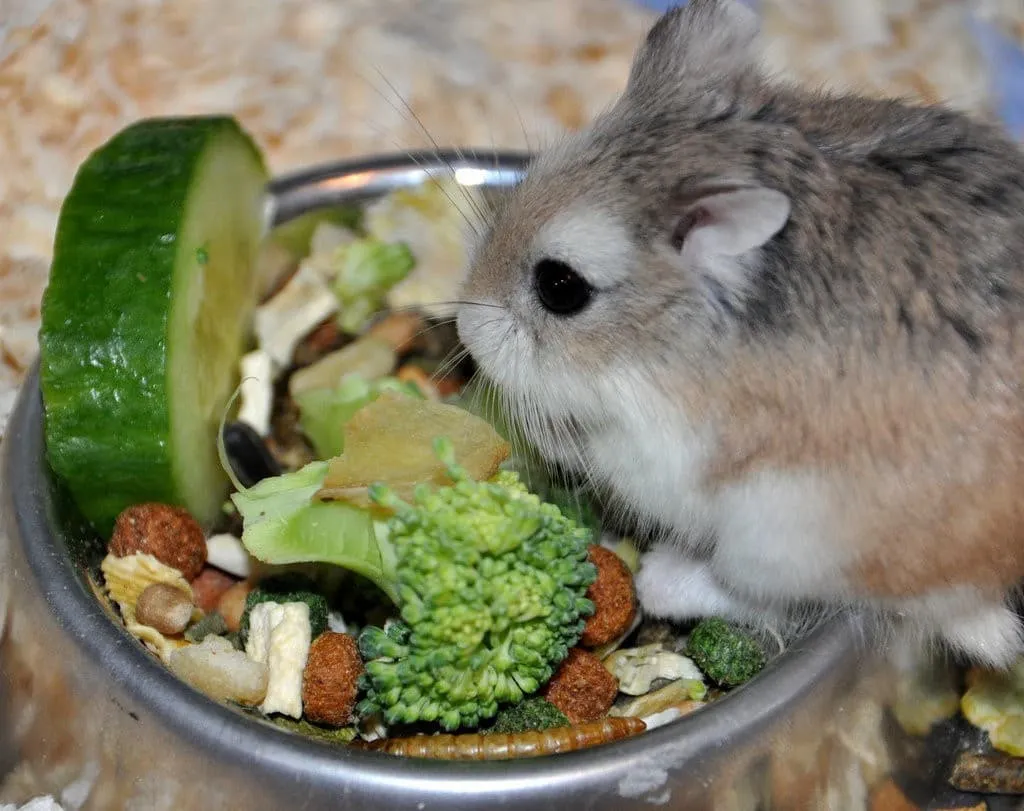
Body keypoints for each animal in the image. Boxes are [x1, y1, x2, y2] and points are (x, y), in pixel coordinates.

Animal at [455, 0, 1024, 668]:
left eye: (560, 286)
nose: (465, 327)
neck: (662, 337)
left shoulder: (658, 448)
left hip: (784, 536)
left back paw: (663, 579)